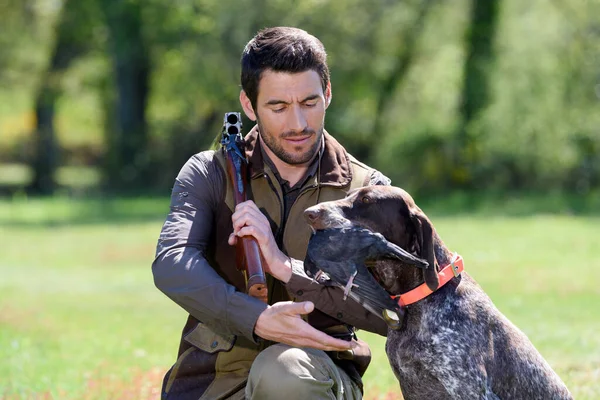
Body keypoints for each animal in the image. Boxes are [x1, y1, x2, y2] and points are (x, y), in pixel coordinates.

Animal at [304, 187, 572, 400]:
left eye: (367, 200)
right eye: (348, 194)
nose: (310, 213)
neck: (420, 301)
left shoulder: (471, 389)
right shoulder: (411, 386)